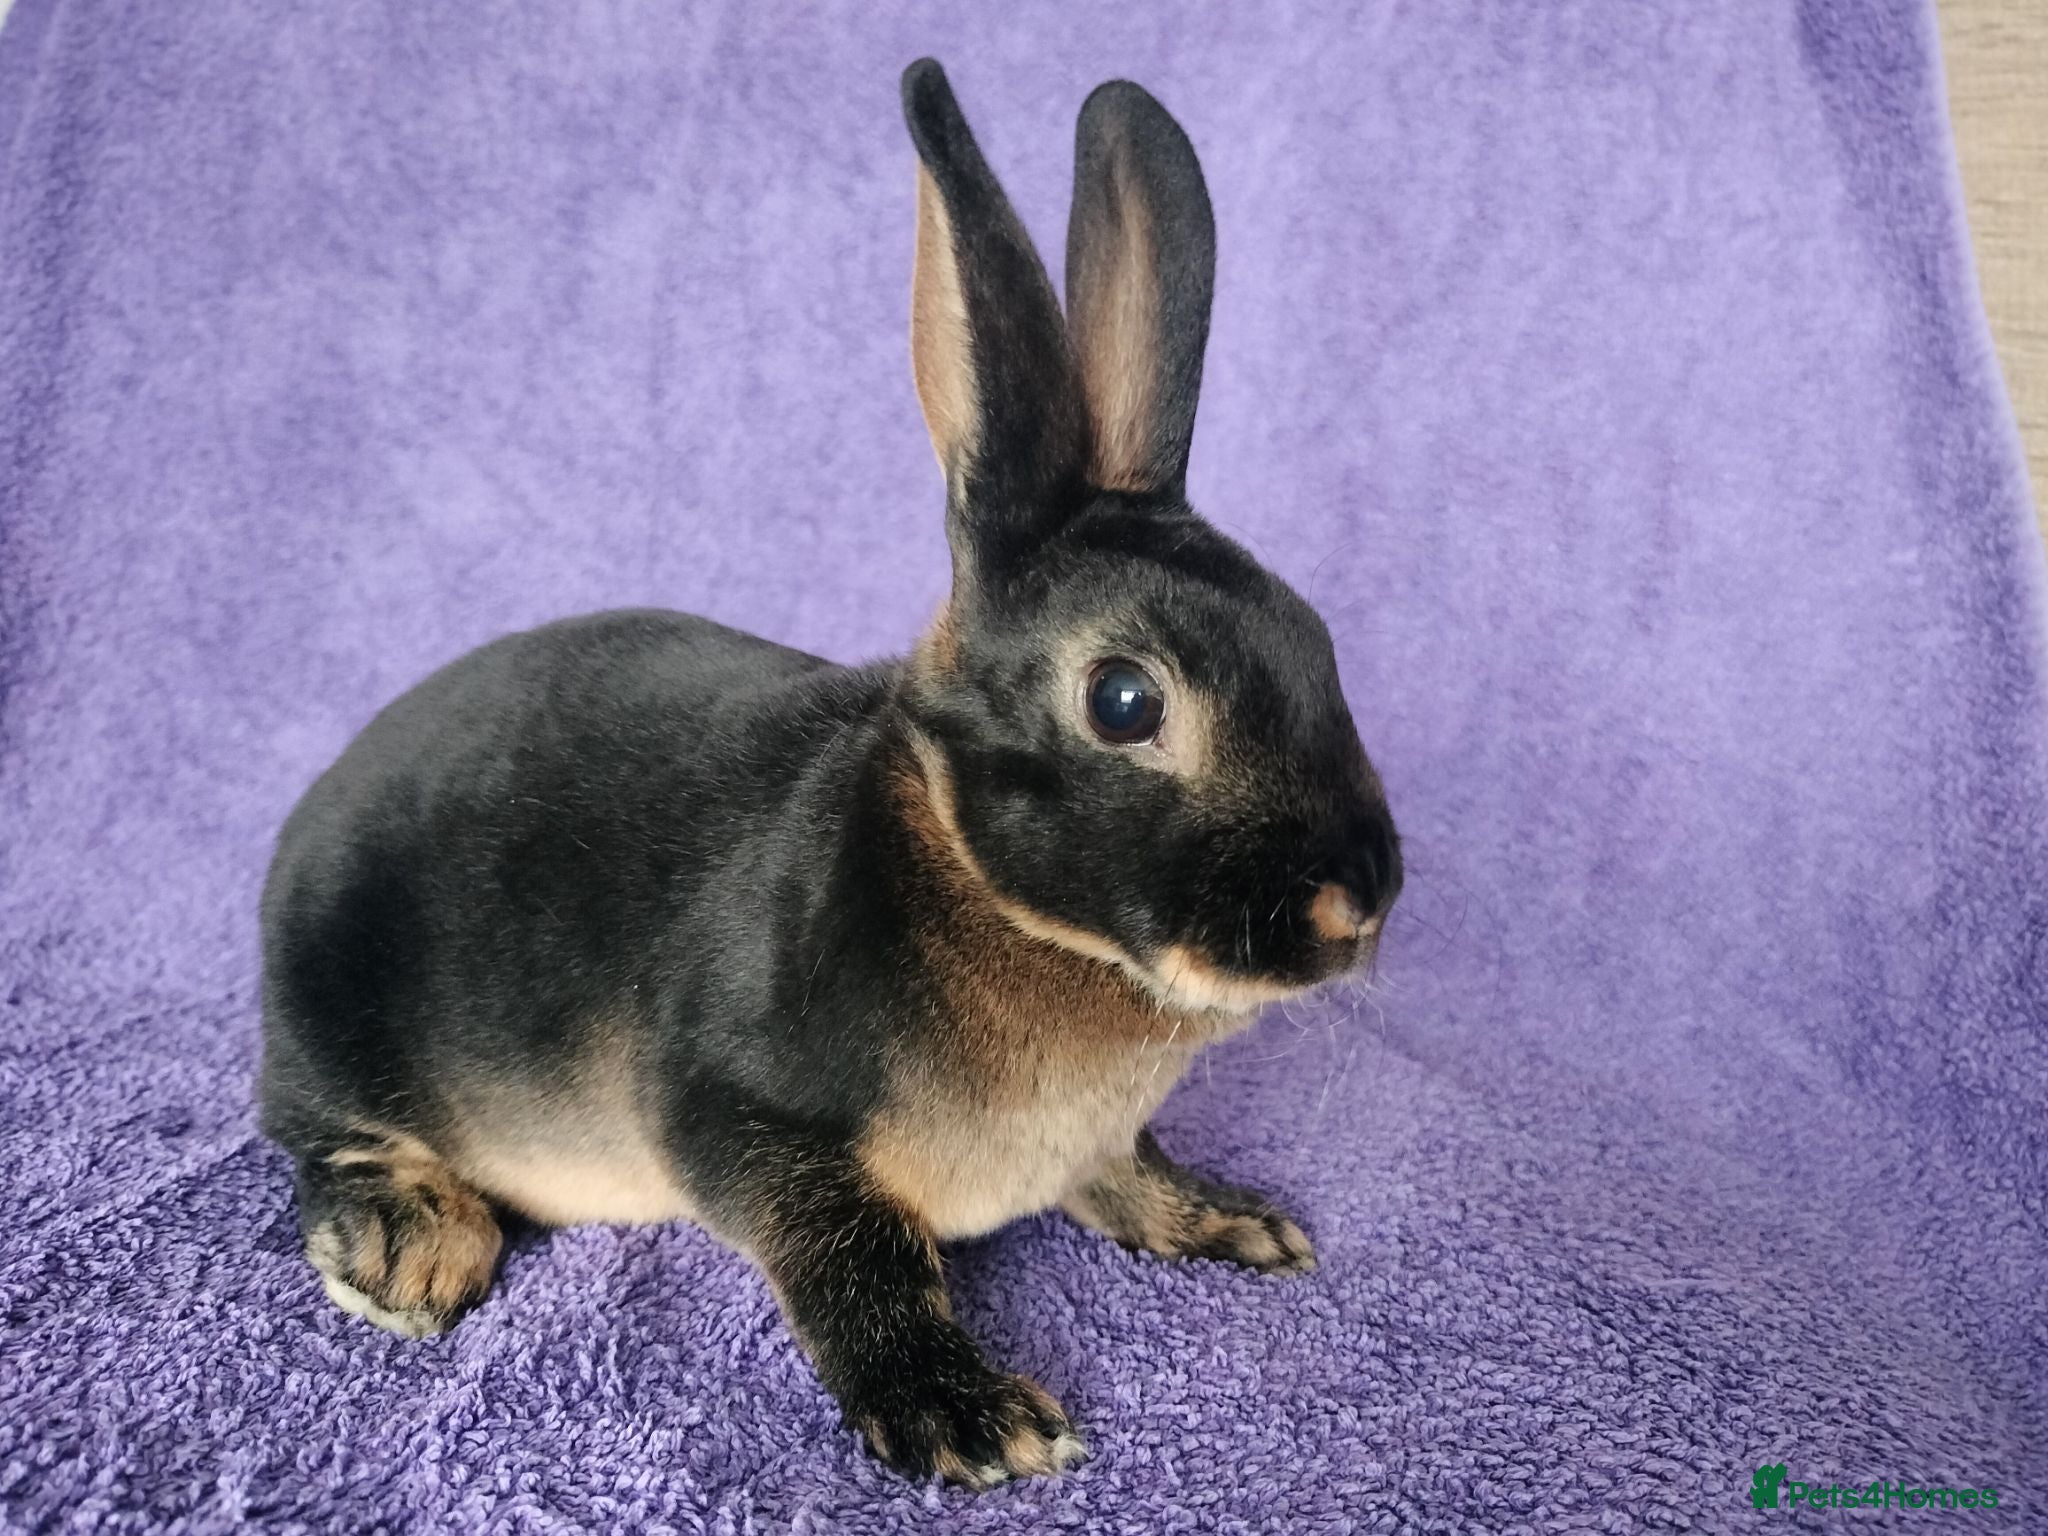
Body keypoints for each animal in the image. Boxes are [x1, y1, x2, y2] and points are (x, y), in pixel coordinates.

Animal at [258, 57, 1402, 1489]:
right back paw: (410, 1248)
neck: (979, 884)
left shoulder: (1093, 1136)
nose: (1359, 901)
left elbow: (1126, 1169)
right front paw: (967, 1416)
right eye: (1125, 701)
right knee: (312, 1126)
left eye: (1314, 638)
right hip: (344, 1027)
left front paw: (1228, 1222)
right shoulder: (744, 1117)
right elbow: (854, 1261)